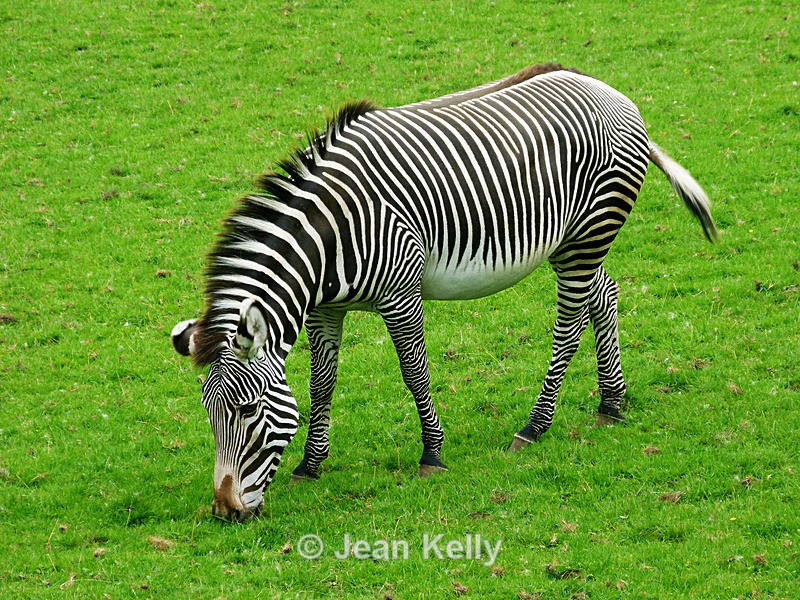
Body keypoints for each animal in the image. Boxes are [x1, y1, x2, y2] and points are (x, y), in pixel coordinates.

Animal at [171, 64, 716, 521]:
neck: (329, 240)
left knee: (569, 321)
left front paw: (432, 455)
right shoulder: (325, 310)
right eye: (208, 413)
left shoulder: (401, 292)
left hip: (589, 233)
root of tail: (607, 89)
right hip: (574, 242)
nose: (224, 511)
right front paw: (310, 465)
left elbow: (415, 374)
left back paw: (535, 425)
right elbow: (321, 384)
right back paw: (611, 404)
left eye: (247, 411)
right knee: (602, 295)